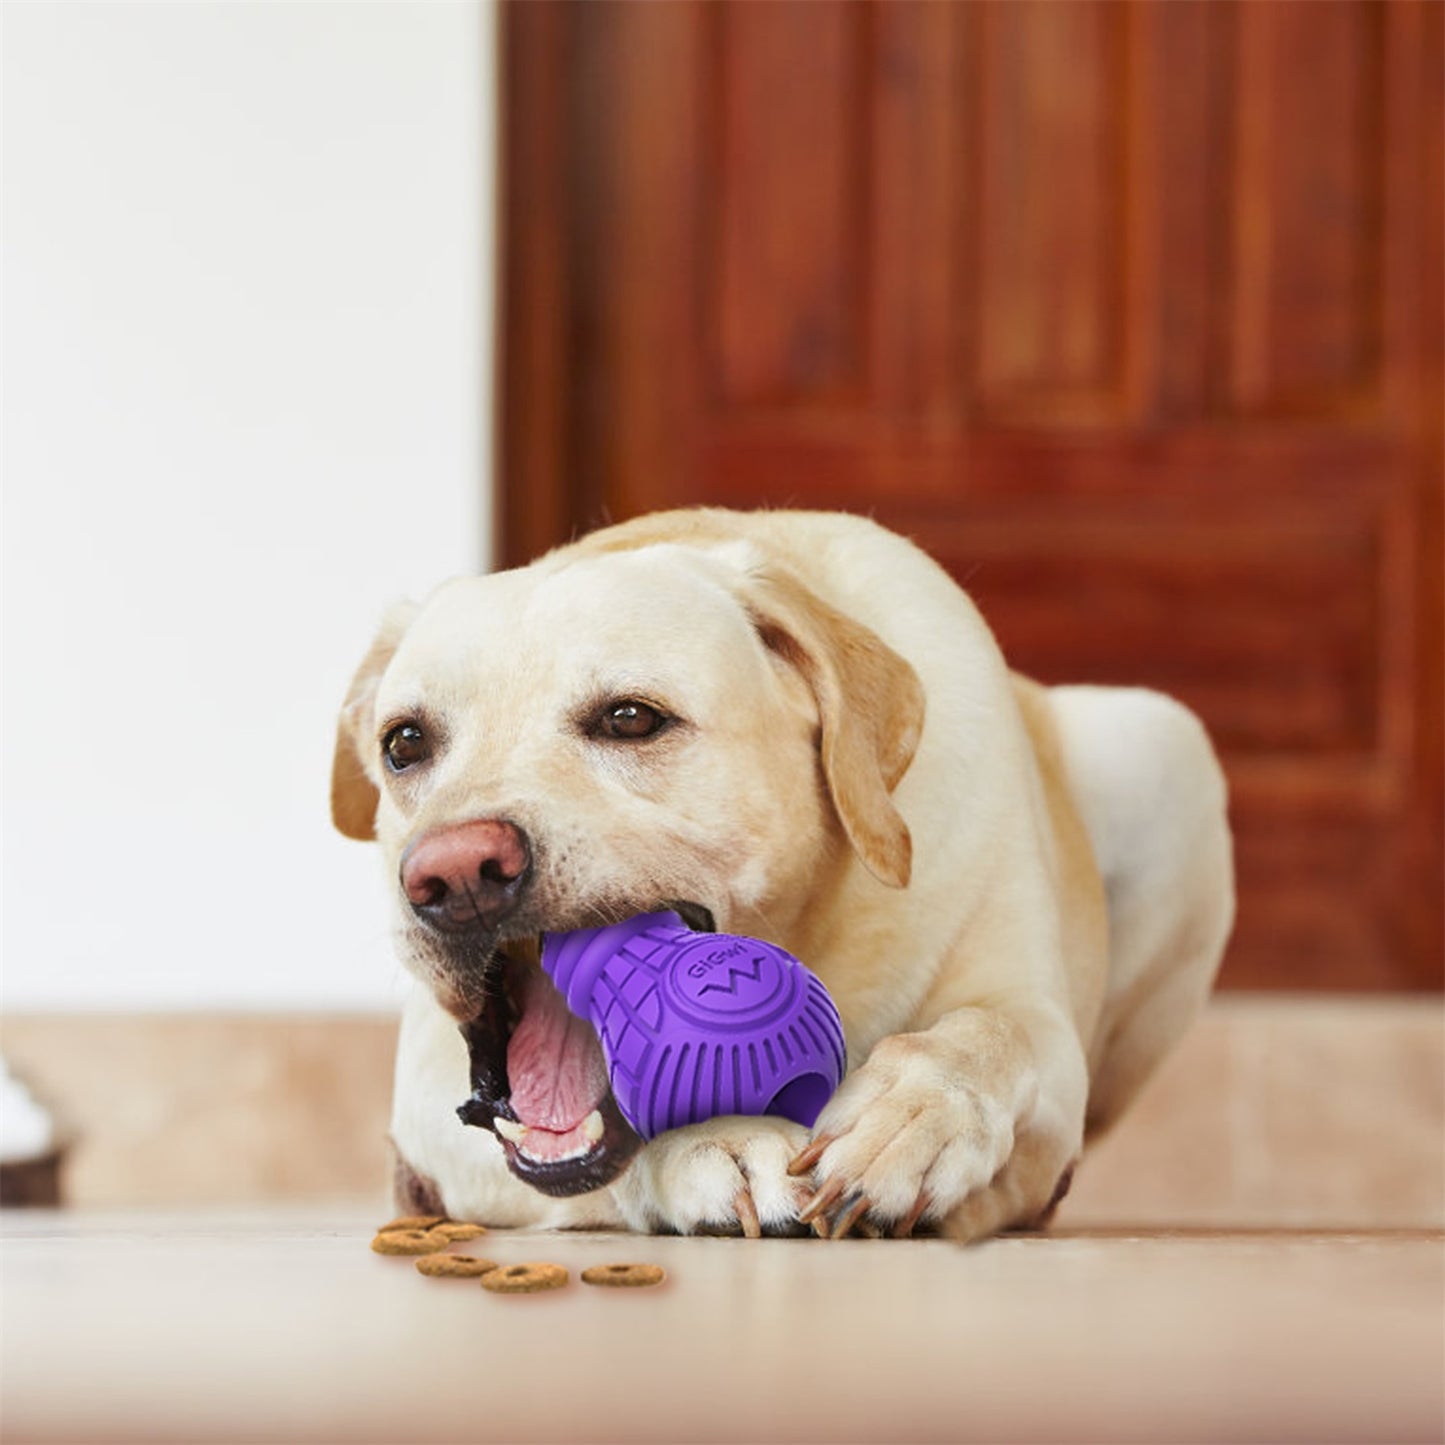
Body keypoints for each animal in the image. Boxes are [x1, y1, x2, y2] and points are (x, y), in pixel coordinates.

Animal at [330, 511, 1231, 1242]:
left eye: (630, 718)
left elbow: (985, 1035)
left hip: (1168, 746)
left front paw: (914, 1117)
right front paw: (718, 1137)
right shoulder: (426, 1088)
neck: (809, 930)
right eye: (404, 742)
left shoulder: (1035, 1017)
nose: (455, 873)